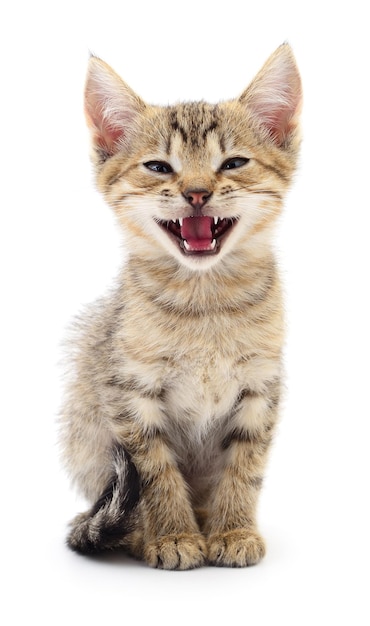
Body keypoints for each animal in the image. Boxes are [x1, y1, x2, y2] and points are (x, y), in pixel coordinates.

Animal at [60, 45, 300, 572]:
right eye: (158, 167)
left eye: (233, 163)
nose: (196, 193)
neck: (203, 302)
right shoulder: (130, 395)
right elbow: (157, 475)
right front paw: (172, 535)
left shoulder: (260, 388)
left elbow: (245, 466)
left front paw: (233, 529)